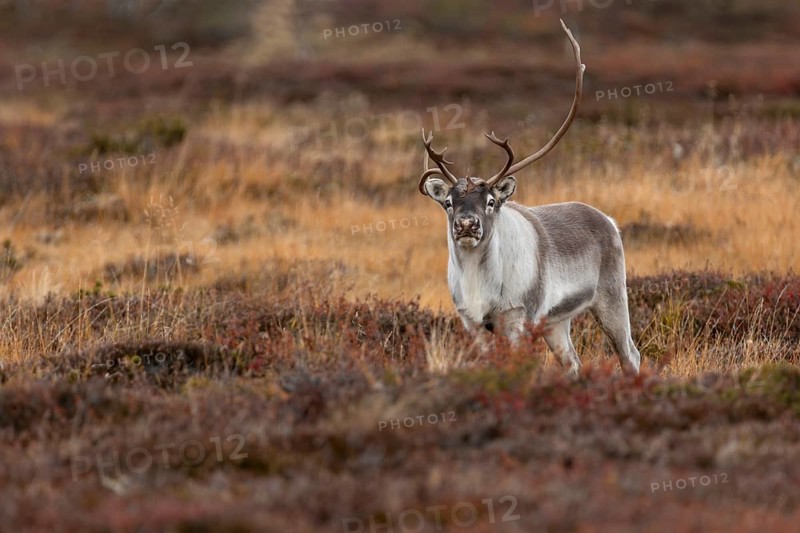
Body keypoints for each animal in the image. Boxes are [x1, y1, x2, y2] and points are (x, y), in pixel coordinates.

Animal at [418, 20, 640, 375]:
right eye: (448, 203)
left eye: (490, 201)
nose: (466, 225)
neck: (479, 282)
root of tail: (608, 220)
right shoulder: (472, 324)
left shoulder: (518, 319)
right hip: (555, 322)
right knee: (572, 362)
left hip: (612, 296)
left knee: (630, 353)